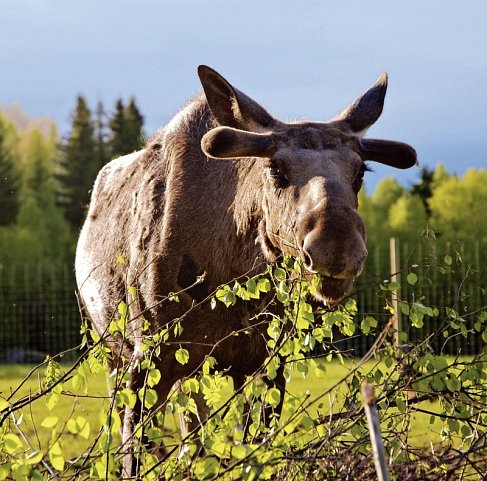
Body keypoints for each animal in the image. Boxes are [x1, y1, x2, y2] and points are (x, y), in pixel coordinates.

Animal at [74, 65, 418, 474]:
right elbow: (134, 457)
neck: (233, 269)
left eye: (360, 173)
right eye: (276, 169)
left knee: (192, 423)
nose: (336, 248)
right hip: (110, 347)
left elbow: (253, 450)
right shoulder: (149, 354)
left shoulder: (264, 362)